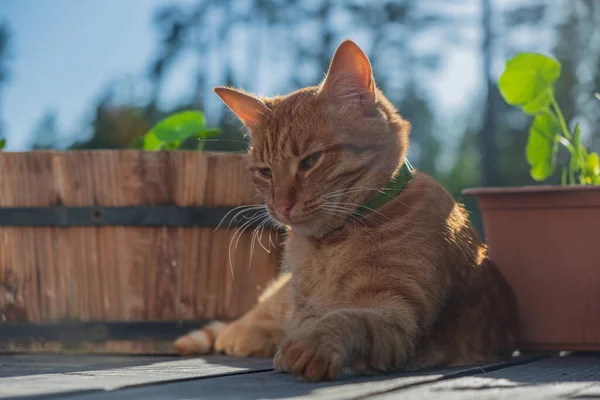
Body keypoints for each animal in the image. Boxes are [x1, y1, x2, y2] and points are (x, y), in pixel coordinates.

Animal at [172, 38, 516, 382]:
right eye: (265, 171)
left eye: (310, 161)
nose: (281, 205)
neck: (330, 244)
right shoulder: (306, 311)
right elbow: (307, 322)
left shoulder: (399, 313)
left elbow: (348, 319)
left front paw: (311, 346)